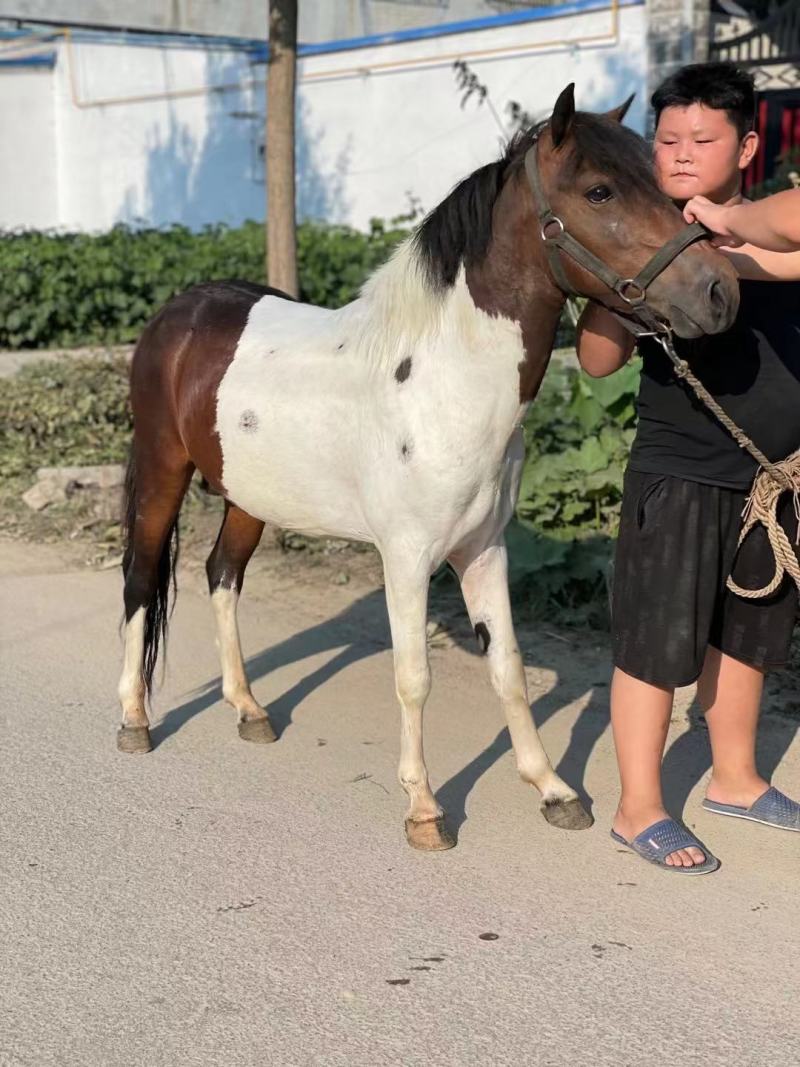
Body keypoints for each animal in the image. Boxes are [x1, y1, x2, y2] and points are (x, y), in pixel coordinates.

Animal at [117, 84, 739, 851]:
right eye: (600, 191)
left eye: (662, 181)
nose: (719, 292)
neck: (443, 383)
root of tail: (179, 310)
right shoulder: (408, 557)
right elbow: (414, 677)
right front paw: (424, 809)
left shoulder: (485, 549)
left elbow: (508, 670)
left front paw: (553, 789)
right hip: (162, 469)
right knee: (142, 579)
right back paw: (135, 720)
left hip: (248, 496)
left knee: (221, 575)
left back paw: (249, 709)